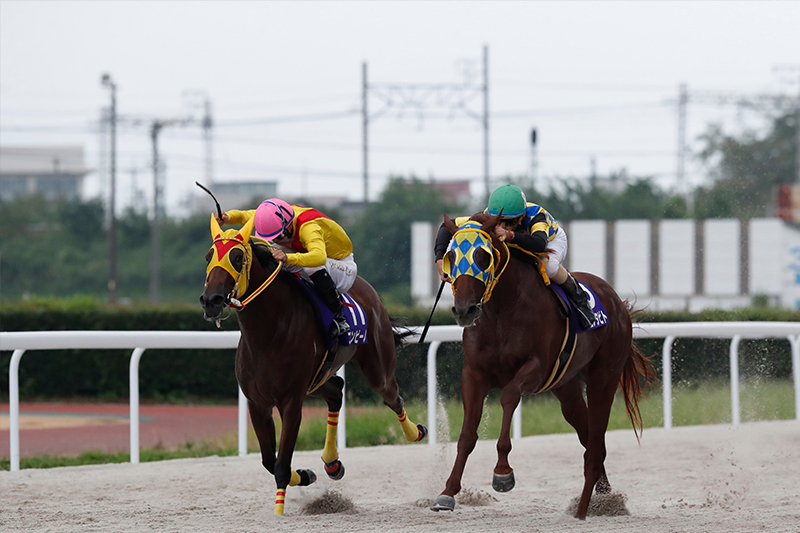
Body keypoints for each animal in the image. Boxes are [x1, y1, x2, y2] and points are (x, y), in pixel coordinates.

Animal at [198, 215, 428, 516]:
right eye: (208, 256)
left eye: (237, 257)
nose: (210, 300)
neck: (267, 333)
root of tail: (369, 291)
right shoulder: (257, 403)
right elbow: (269, 461)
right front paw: (306, 475)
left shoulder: (291, 401)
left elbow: (281, 465)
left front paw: (279, 512)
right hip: (318, 379)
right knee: (337, 390)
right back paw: (332, 462)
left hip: (376, 367)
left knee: (392, 397)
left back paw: (416, 432)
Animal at [434, 210, 652, 516]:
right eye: (451, 256)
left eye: (483, 256)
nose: (464, 310)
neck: (502, 310)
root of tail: (617, 302)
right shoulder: (474, 374)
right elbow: (466, 435)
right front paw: (447, 492)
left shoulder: (536, 368)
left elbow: (509, 396)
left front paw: (503, 472)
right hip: (567, 388)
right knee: (589, 439)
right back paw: (606, 499)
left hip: (604, 378)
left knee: (596, 443)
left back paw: (585, 509)